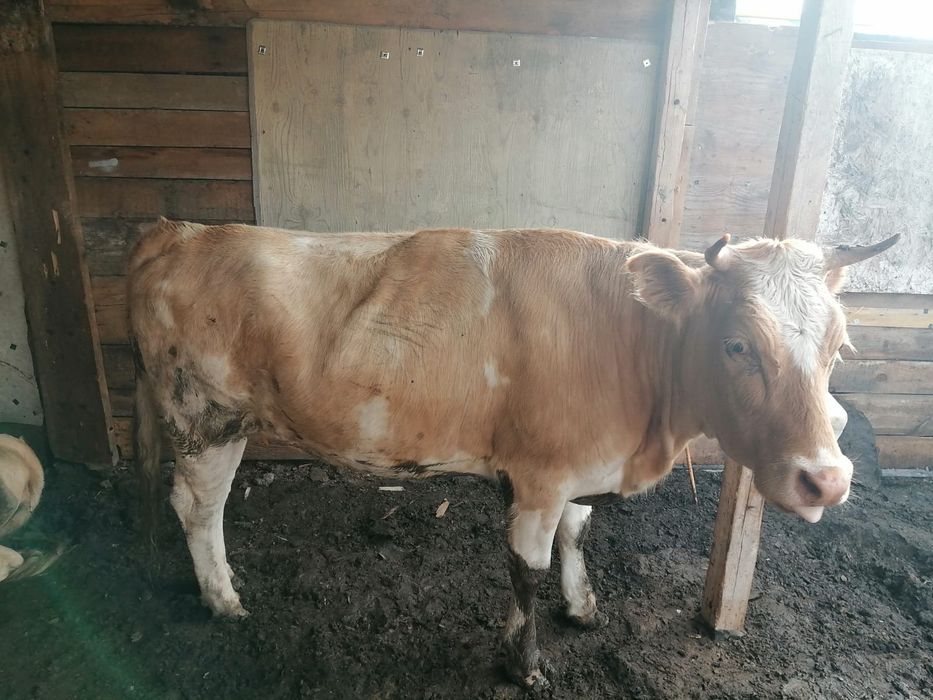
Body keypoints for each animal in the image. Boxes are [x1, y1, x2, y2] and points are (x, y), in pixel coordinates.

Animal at [128, 218, 897, 689]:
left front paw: (582, 607)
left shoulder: (576, 470)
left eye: (840, 346)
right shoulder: (539, 475)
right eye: (737, 345)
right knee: (197, 506)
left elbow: (576, 534)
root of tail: (183, 230)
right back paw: (223, 598)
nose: (826, 480)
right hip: (204, 416)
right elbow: (525, 568)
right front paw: (524, 665)